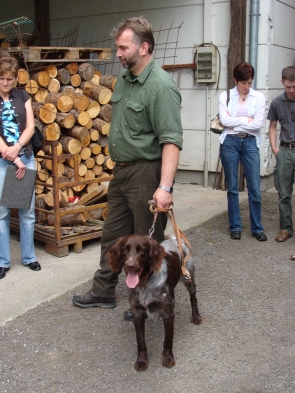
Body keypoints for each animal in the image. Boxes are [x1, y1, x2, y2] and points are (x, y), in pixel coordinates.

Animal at [107, 233, 202, 370]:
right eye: (125, 249)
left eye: (142, 250)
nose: (130, 265)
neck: (145, 283)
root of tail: (174, 238)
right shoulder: (137, 313)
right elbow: (140, 341)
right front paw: (141, 361)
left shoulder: (168, 313)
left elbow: (168, 340)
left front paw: (168, 358)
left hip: (189, 278)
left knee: (193, 298)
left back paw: (196, 316)